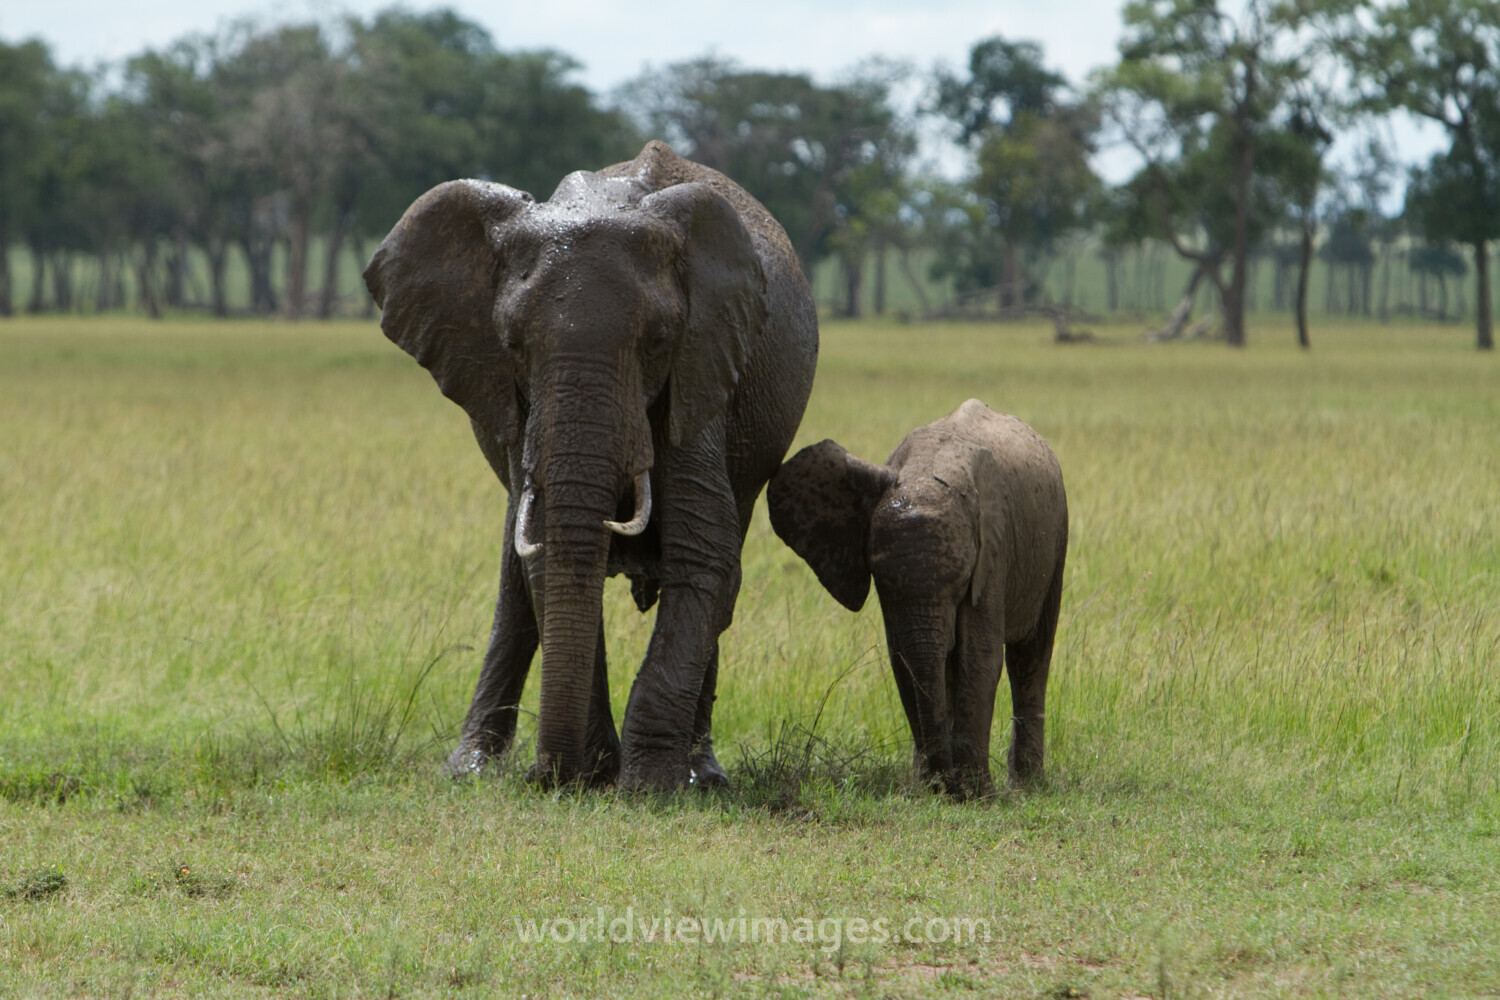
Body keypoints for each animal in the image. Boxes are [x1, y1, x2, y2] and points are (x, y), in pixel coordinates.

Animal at [363, 140, 818, 791]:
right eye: (513, 345)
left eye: (658, 341)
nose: (547, 778)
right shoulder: (516, 404)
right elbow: (546, 553)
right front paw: (597, 775)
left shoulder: (702, 367)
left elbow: (702, 553)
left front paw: (650, 787)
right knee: (514, 581)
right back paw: (469, 769)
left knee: (725, 580)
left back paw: (702, 775)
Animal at [766, 399, 1067, 798]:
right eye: (880, 577)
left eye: (963, 578)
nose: (944, 784)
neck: (925, 471)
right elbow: (904, 659)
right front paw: (934, 789)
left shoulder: (994, 550)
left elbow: (979, 657)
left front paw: (975, 794)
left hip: (1056, 536)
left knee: (1031, 655)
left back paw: (1026, 785)